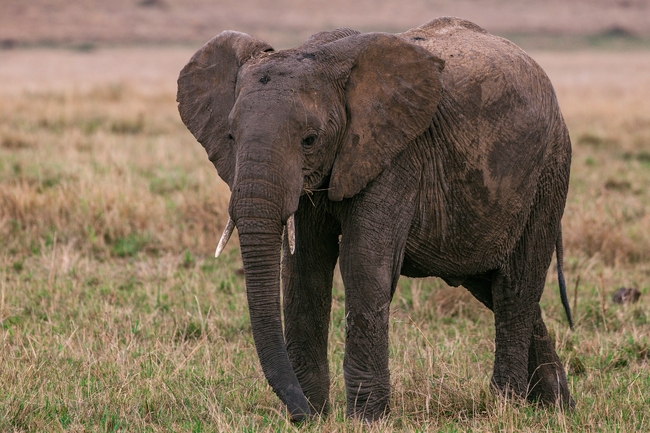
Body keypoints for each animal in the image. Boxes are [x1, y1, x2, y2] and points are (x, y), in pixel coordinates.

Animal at [177, 17, 574, 421]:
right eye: (230, 135)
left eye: (309, 139)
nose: (300, 412)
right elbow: (305, 267)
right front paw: (316, 415)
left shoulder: (396, 153)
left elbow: (364, 262)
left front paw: (365, 418)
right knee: (491, 284)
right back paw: (556, 405)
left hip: (548, 174)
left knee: (515, 286)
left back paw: (505, 404)